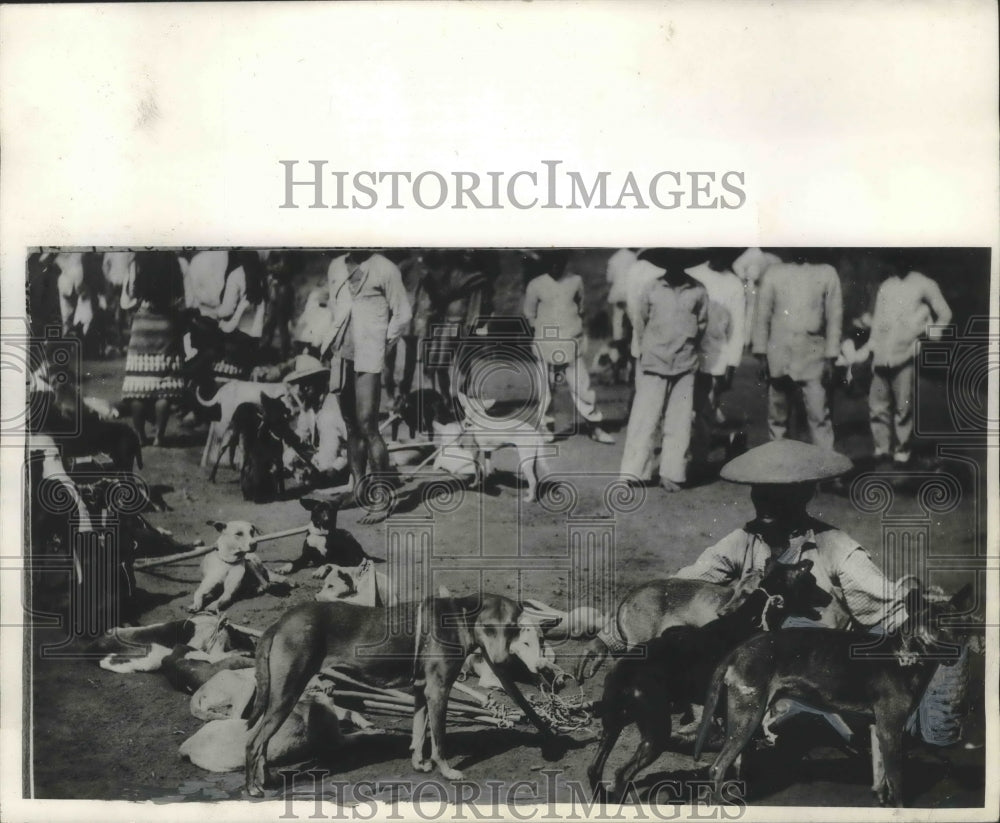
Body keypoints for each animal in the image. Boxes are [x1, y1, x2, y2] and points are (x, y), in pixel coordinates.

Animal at [244, 596, 564, 796]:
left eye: (512, 630)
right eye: (488, 628)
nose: (498, 661)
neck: (457, 619)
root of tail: (280, 622)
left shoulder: (422, 691)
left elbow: (420, 734)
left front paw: (419, 765)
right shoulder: (438, 691)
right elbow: (439, 741)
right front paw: (446, 771)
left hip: (280, 697)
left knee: (262, 743)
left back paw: (266, 779)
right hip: (286, 694)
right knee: (253, 741)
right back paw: (253, 787)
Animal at [584, 560, 828, 800]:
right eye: (812, 580)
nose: (830, 597)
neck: (752, 618)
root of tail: (623, 672)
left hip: (613, 725)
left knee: (594, 769)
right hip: (654, 735)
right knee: (621, 774)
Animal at [700, 584, 972, 808]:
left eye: (960, 627)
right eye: (935, 625)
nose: (955, 653)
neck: (904, 653)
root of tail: (739, 649)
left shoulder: (878, 729)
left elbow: (882, 777)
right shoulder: (891, 729)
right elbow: (897, 784)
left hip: (746, 717)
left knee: (733, 764)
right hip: (747, 717)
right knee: (717, 768)